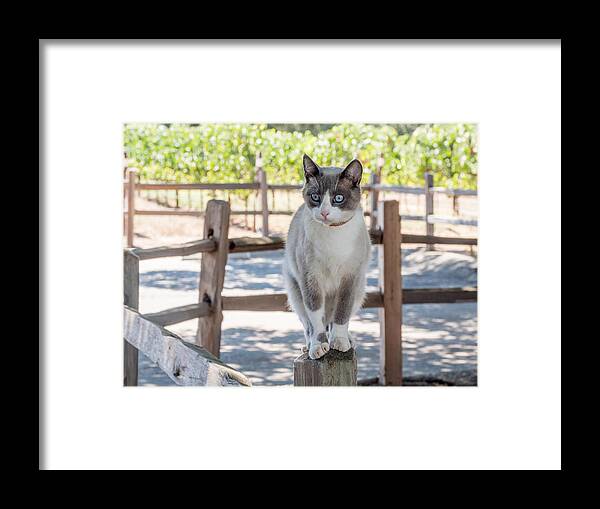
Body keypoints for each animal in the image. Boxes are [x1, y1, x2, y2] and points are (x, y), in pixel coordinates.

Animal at [282, 154, 370, 358]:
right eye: (315, 197)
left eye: (338, 198)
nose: (324, 212)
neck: (333, 234)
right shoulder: (310, 279)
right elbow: (315, 319)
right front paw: (318, 347)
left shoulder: (350, 279)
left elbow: (342, 314)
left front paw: (339, 342)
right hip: (295, 293)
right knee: (310, 324)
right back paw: (308, 346)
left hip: (360, 289)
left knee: (333, 319)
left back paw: (348, 340)